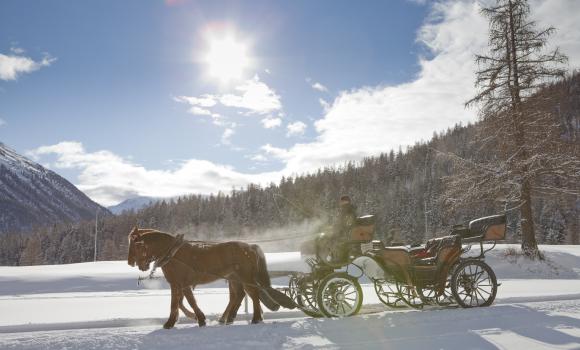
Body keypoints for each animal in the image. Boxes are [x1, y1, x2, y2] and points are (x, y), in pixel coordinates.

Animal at [129, 228, 296, 326]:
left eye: (136, 245)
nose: (130, 262)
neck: (173, 253)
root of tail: (250, 246)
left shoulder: (182, 283)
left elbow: (189, 301)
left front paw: (199, 319)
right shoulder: (176, 283)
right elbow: (176, 303)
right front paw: (174, 321)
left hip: (245, 277)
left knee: (253, 294)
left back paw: (255, 318)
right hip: (235, 278)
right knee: (239, 295)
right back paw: (229, 318)